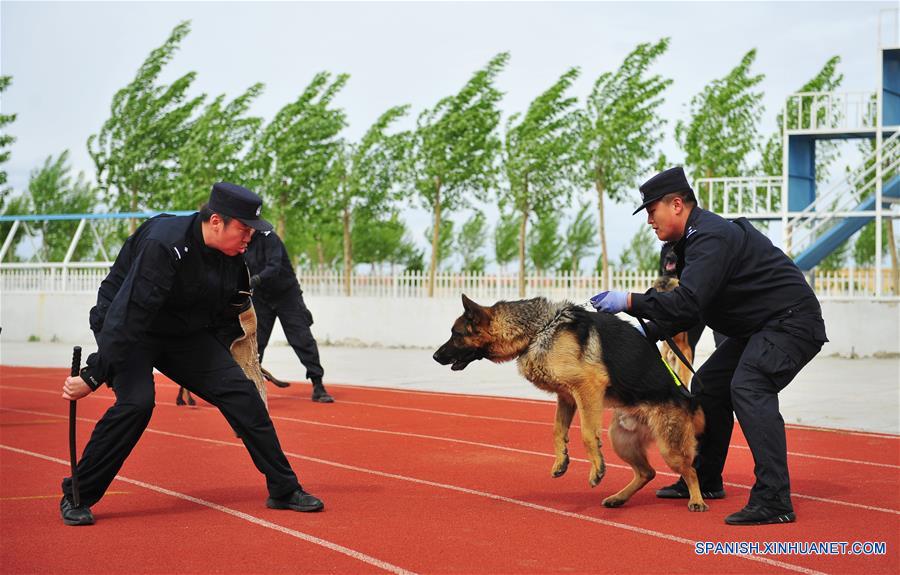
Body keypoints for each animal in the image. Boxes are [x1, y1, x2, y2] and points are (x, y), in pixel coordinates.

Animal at [58, 184, 324, 528]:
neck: (204, 247)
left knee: (244, 394)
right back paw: (74, 498)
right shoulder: (154, 257)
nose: (248, 242)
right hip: (128, 348)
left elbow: (248, 399)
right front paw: (85, 380)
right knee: (133, 402)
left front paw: (288, 490)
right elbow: (132, 307)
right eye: (245, 232)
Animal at [436, 296, 712, 512]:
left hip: (669, 447)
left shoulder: (587, 388)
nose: (435, 356)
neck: (539, 330)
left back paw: (697, 500)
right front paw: (561, 461)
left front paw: (597, 469)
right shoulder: (567, 397)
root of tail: (688, 398)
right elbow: (558, 430)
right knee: (647, 472)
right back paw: (619, 498)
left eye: (456, 334)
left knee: (691, 471)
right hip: (621, 440)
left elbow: (588, 434)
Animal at [592, 166, 828, 528]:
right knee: (652, 468)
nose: (669, 257)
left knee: (694, 458)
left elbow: (686, 300)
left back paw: (720, 500)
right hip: (624, 436)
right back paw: (643, 494)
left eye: (651, 210)